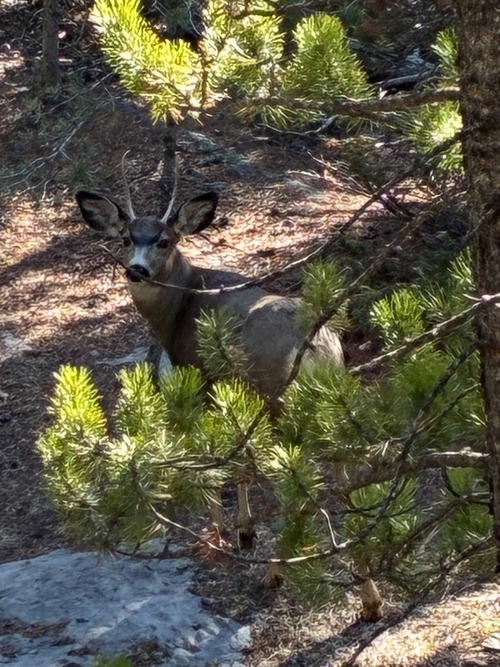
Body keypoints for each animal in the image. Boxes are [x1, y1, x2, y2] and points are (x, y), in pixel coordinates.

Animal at [75, 185, 344, 553]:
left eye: (165, 241)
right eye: (127, 239)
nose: (137, 270)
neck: (179, 308)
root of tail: (315, 344)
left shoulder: (200, 377)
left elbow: (213, 453)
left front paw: (225, 528)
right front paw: (244, 530)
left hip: (278, 399)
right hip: (333, 392)